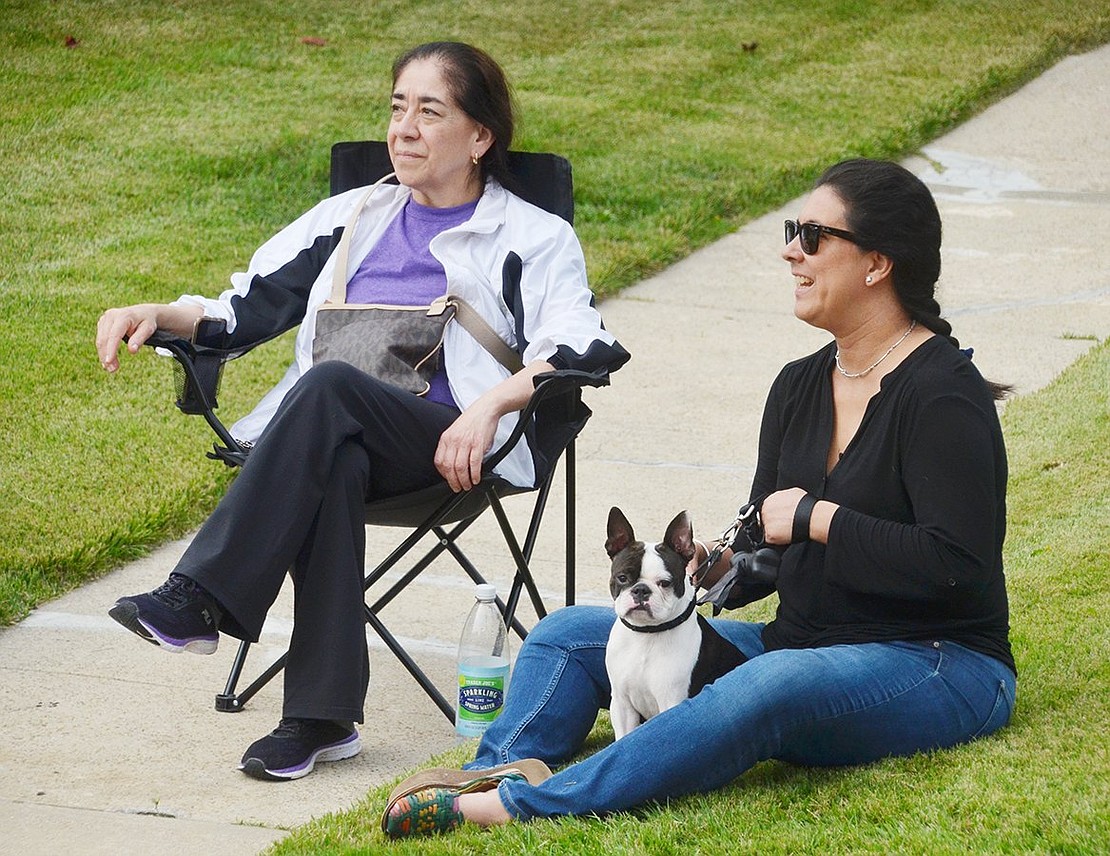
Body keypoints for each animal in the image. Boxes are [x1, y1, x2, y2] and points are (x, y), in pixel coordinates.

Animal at [603, 506, 750, 741]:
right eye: (622, 578)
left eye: (665, 583)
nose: (641, 590)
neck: (646, 634)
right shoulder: (621, 703)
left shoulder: (671, 700)